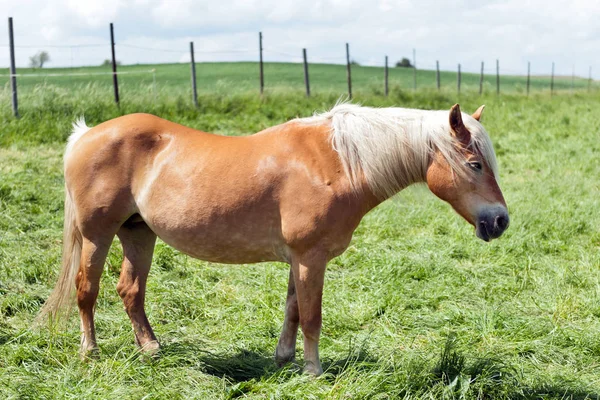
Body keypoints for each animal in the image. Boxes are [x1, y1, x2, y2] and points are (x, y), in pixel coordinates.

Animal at [36, 102, 506, 376]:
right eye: (474, 163)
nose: (500, 221)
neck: (338, 161)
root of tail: (85, 134)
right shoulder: (311, 258)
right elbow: (312, 316)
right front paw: (314, 371)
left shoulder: (300, 259)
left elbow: (293, 309)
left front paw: (284, 359)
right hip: (97, 236)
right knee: (87, 290)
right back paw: (90, 353)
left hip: (139, 233)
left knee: (130, 290)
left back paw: (151, 349)